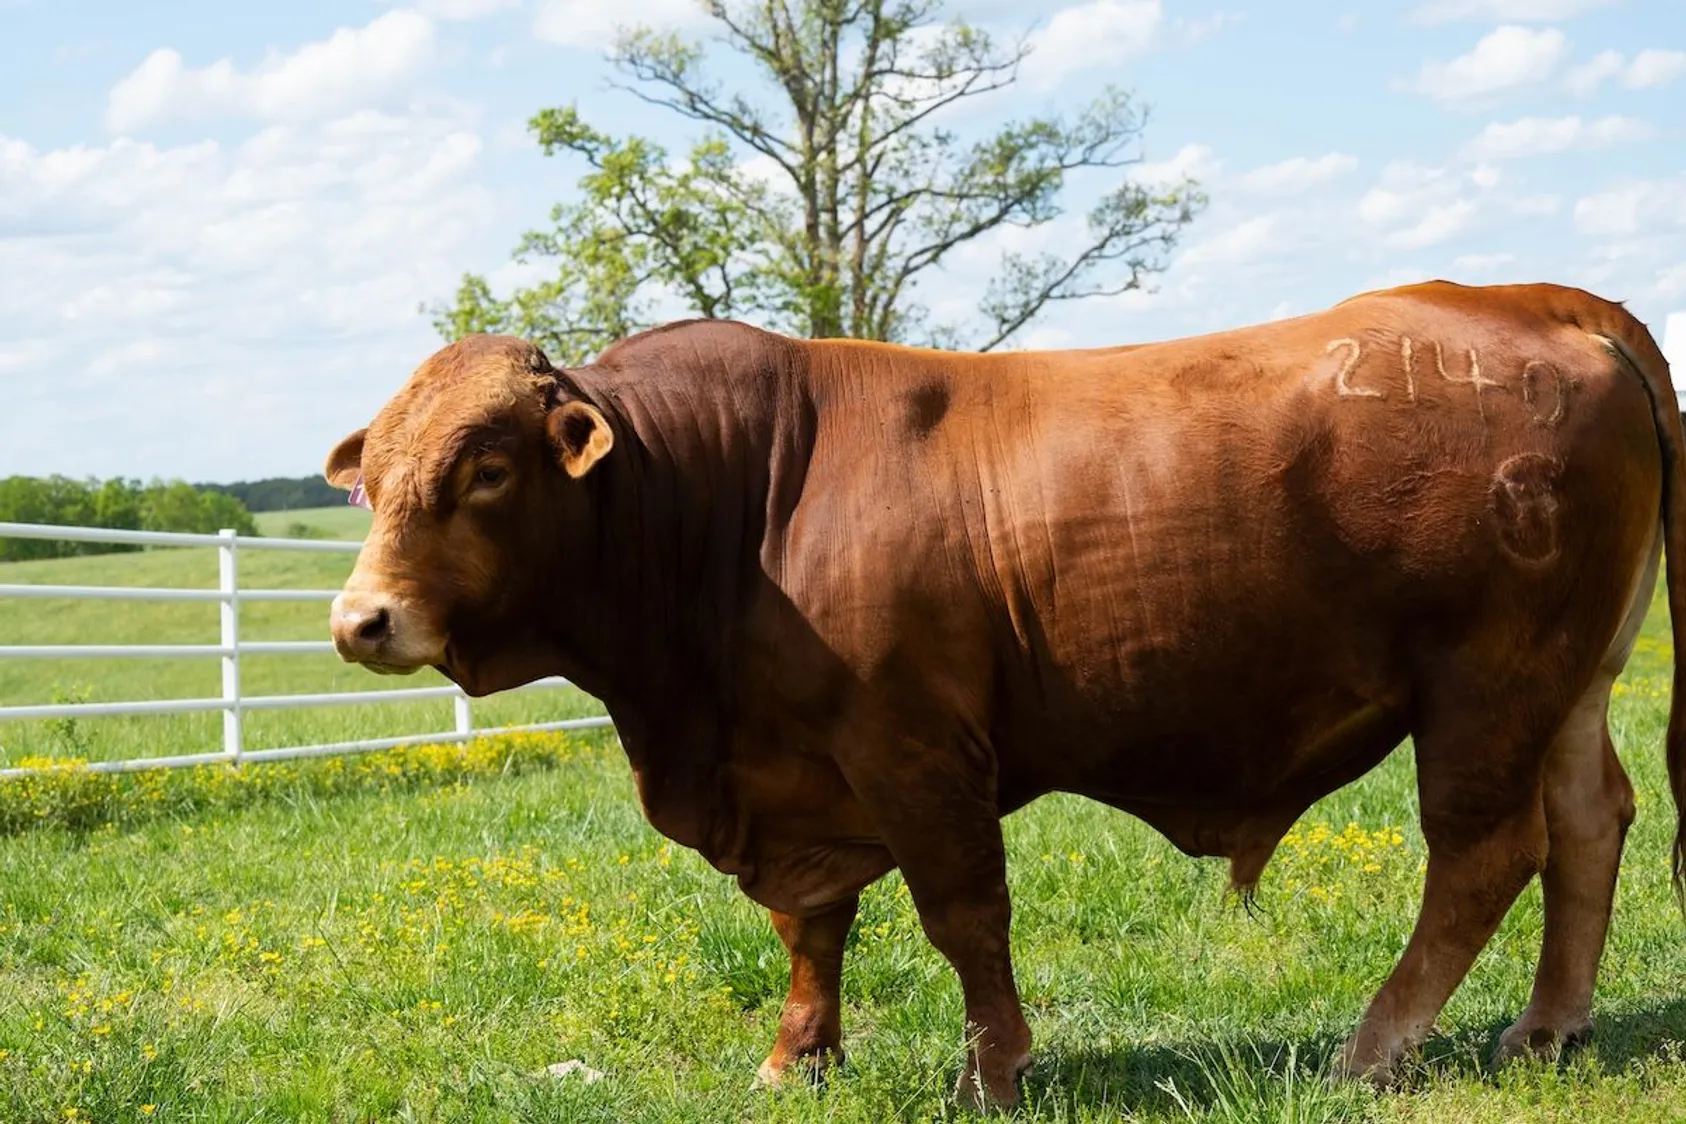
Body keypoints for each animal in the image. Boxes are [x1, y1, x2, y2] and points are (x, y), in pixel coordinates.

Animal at [323, 280, 1685, 1110]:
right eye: (370, 476)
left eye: (487, 468)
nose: (359, 620)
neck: (734, 496)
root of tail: (1525, 301)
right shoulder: (799, 772)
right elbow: (811, 925)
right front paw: (796, 1057)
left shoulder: (913, 747)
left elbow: (964, 913)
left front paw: (991, 1071)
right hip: (1570, 680)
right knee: (1588, 822)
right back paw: (1547, 1027)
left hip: (1486, 682)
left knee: (1483, 851)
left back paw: (1376, 1043)